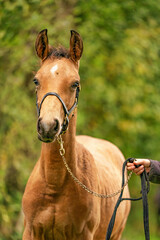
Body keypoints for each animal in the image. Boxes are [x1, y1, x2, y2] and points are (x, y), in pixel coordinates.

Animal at [22, 30, 130, 240]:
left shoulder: (83, 234)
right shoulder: (31, 232)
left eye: (75, 83)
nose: (48, 126)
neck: (54, 185)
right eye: (36, 80)